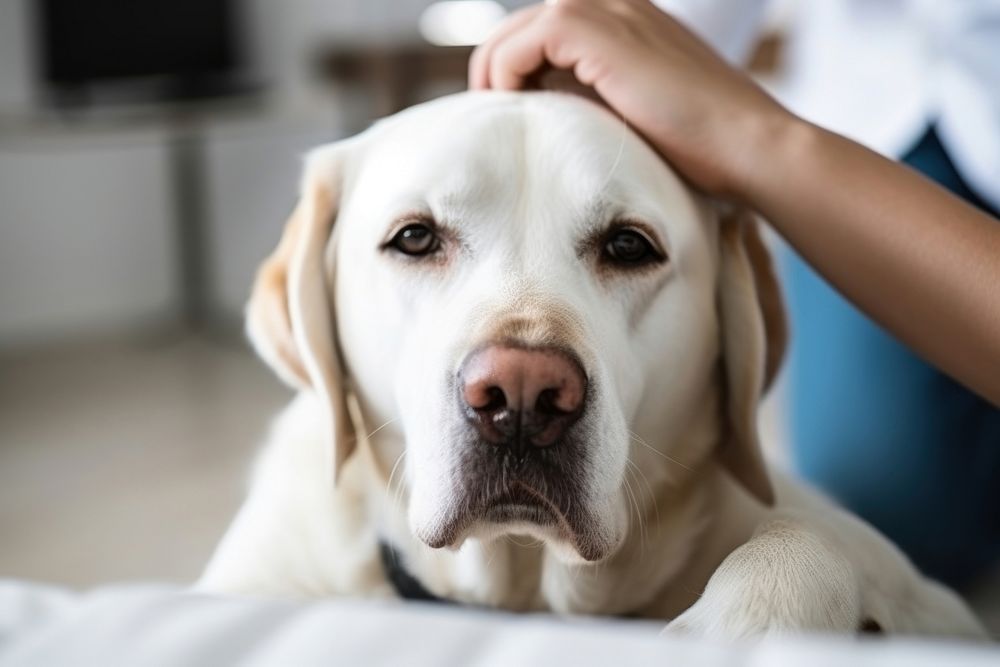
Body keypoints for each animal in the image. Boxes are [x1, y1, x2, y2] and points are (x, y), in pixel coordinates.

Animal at [199, 91, 988, 640]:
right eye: (415, 237)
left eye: (629, 245)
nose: (521, 395)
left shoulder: (938, 602)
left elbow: (811, 532)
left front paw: (740, 624)